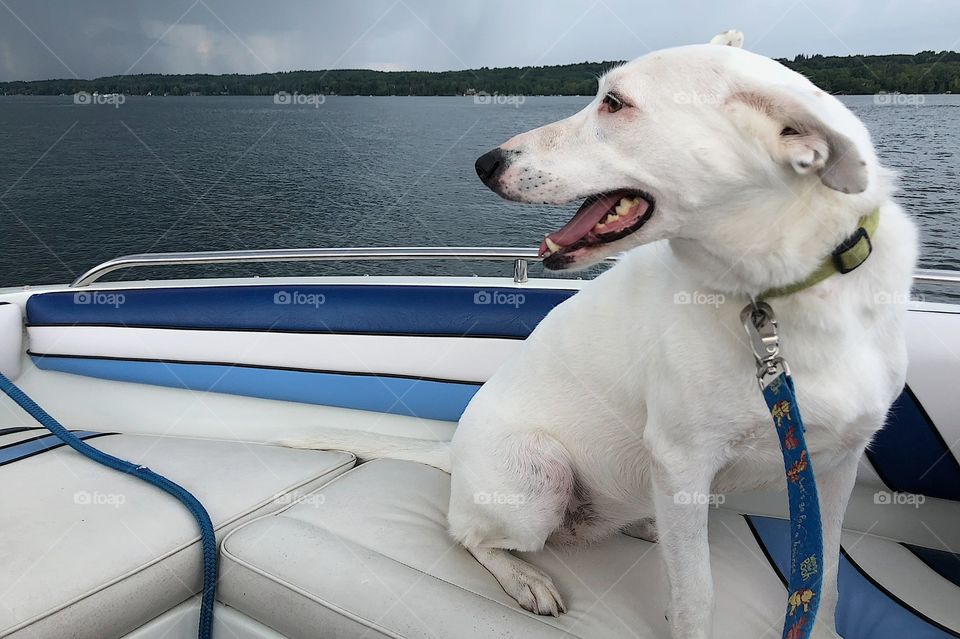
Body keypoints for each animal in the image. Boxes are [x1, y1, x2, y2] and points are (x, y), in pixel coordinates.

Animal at [284, 32, 916, 639]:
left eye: (614, 103)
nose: (485, 162)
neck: (779, 298)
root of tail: (454, 453)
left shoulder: (833, 467)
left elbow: (826, 580)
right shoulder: (682, 461)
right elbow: (696, 599)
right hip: (538, 476)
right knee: (468, 535)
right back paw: (526, 578)